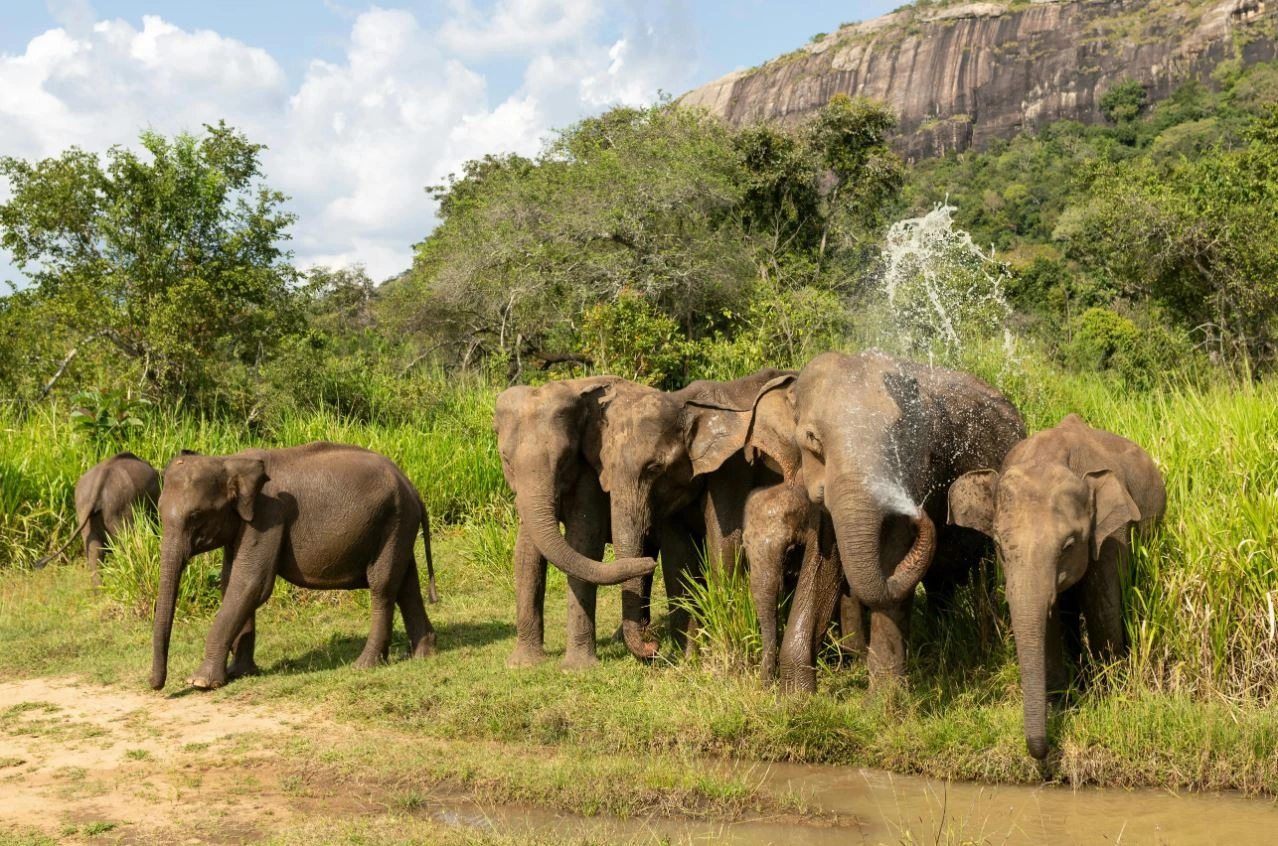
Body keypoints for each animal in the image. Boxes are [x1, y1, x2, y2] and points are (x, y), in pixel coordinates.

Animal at [150, 441, 438, 691]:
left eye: (196, 516)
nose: (155, 685)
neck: (229, 461)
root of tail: (413, 489)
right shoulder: (245, 523)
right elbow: (232, 581)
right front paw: (239, 672)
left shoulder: (268, 515)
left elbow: (251, 583)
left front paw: (200, 682)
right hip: (399, 525)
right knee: (406, 584)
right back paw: (423, 655)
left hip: (394, 521)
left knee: (383, 586)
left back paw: (364, 665)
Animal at [493, 377, 658, 670]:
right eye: (506, 459)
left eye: (566, 457)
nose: (647, 562)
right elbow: (526, 553)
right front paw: (521, 665)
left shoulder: (591, 472)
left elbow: (584, 545)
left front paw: (576, 669)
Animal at [746, 351, 1026, 691]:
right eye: (812, 439)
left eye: (899, 440)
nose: (922, 512)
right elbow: (822, 564)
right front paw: (795, 697)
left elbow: (891, 554)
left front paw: (882, 700)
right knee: (940, 584)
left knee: (984, 574)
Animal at [947, 413, 1166, 759]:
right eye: (998, 545)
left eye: (1068, 546)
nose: (1041, 750)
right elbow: (1047, 620)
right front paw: (1061, 704)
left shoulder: (1111, 533)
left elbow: (1102, 606)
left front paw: (1109, 698)